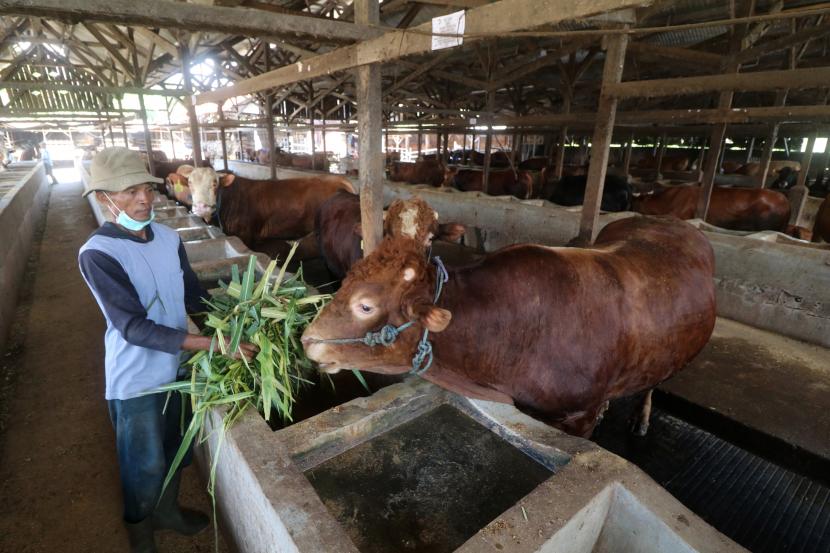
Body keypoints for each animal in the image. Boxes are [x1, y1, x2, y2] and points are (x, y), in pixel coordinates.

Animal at [302, 215, 720, 436]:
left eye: (365, 304)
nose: (307, 339)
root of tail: (675, 221)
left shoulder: (580, 416)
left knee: (653, 383)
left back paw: (641, 418)